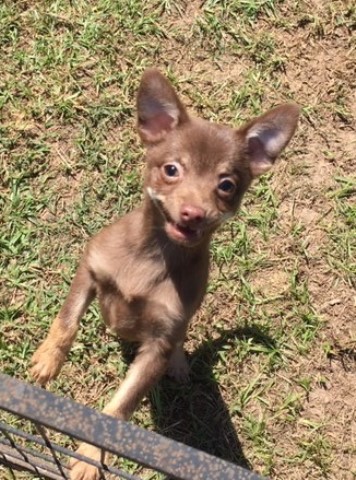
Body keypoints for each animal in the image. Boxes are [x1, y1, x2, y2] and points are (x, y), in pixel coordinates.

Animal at [29, 68, 300, 480]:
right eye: (172, 170)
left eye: (226, 185)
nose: (193, 213)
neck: (154, 256)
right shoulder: (90, 268)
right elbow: (67, 320)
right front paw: (47, 361)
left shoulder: (158, 343)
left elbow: (120, 407)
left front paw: (91, 453)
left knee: (180, 339)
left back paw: (179, 363)